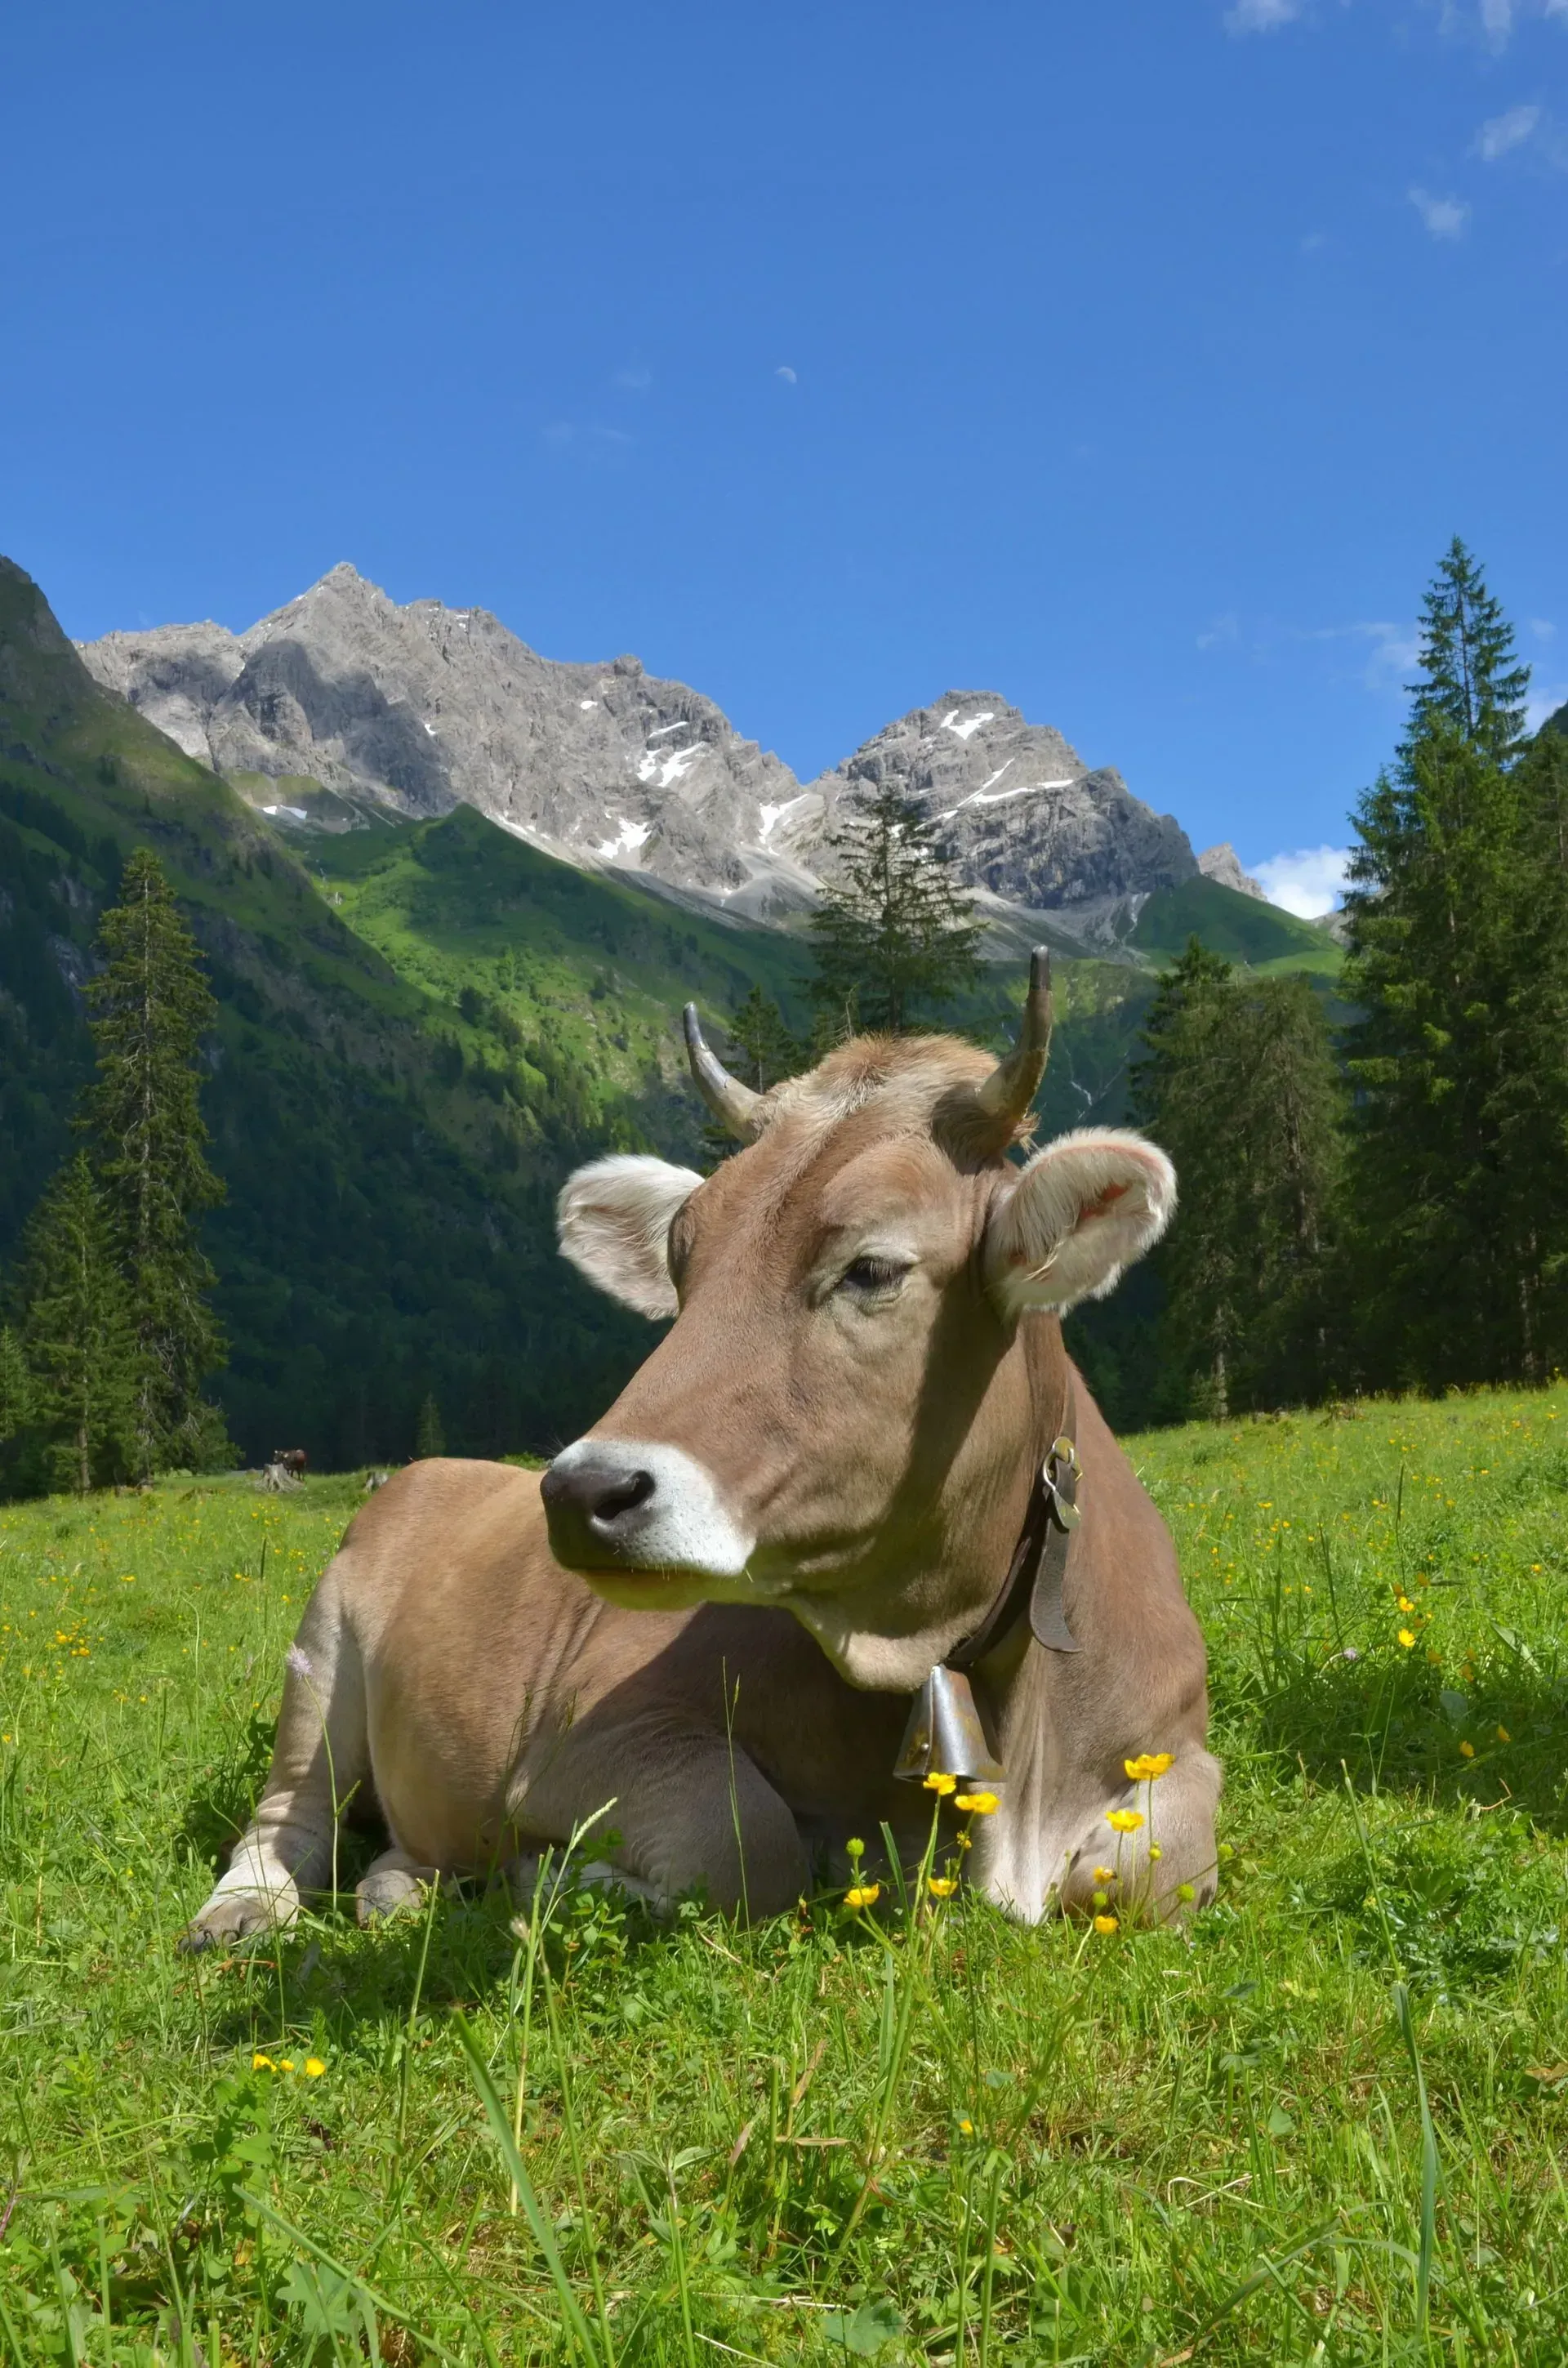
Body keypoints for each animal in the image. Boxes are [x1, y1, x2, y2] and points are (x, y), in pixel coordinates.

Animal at [180, 958, 1219, 1950]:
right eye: (683, 1261)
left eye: (871, 1267)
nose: (580, 1490)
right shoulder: (587, 1737)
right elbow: (749, 1843)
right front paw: (556, 1881)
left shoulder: (1174, 1745)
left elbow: (1152, 1867)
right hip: (319, 1656)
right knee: (290, 1812)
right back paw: (246, 1911)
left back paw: (400, 1889)